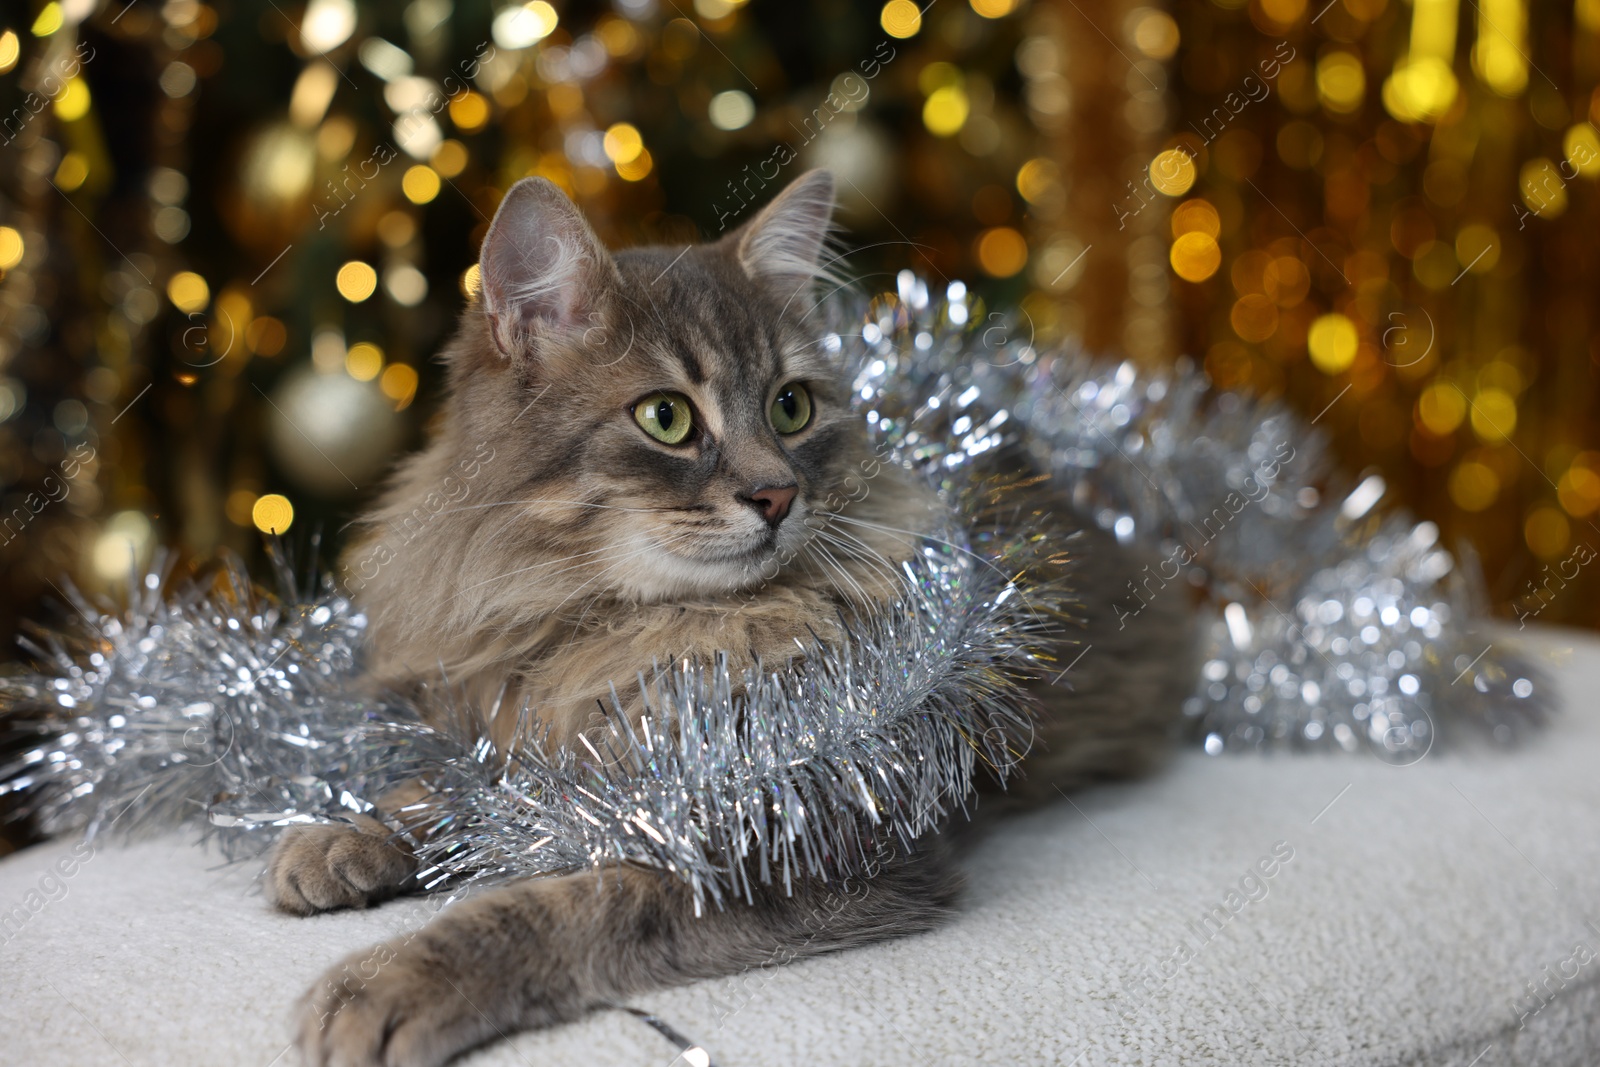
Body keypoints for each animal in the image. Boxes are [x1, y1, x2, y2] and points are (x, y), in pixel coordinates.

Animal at [268, 168, 1196, 1067]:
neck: (610, 626)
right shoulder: (522, 723)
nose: (778, 495)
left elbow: (568, 907)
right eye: (666, 417)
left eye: (791, 407)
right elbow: (447, 787)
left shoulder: (793, 843)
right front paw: (341, 834)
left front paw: (391, 982)